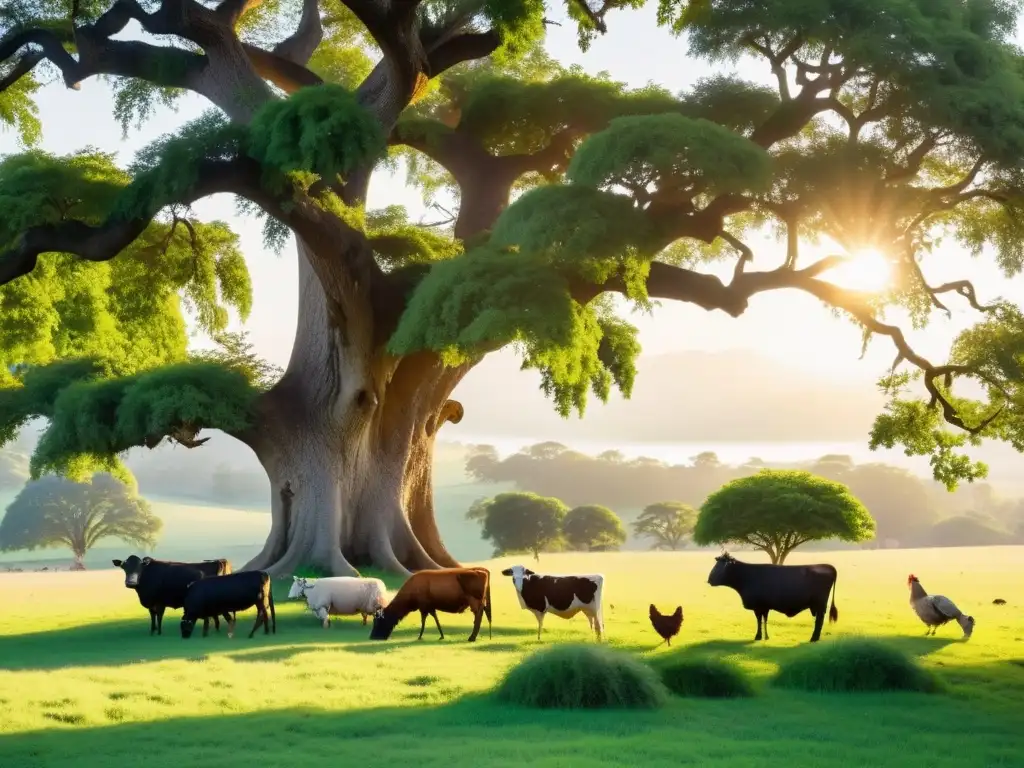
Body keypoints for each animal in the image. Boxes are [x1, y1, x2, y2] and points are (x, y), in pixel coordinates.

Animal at [704, 548, 839, 647]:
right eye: (716, 565)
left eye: (719, 567)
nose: (709, 580)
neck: (746, 577)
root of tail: (828, 566)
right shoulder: (764, 606)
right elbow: (764, 619)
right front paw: (765, 636)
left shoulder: (758, 606)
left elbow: (759, 620)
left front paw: (758, 636)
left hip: (820, 604)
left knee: (819, 621)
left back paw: (813, 638)